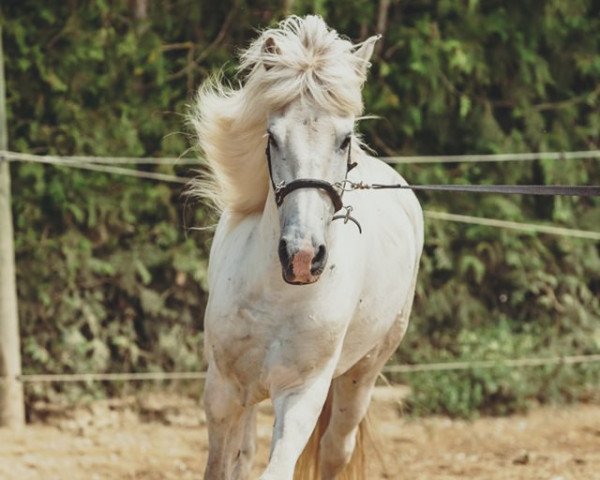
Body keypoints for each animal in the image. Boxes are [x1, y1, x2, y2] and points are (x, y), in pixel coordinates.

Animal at [191, 15, 422, 480]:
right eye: (273, 137)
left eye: (344, 138)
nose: (301, 258)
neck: (276, 297)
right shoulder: (223, 391)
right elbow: (225, 466)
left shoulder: (301, 395)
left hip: (362, 373)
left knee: (336, 448)